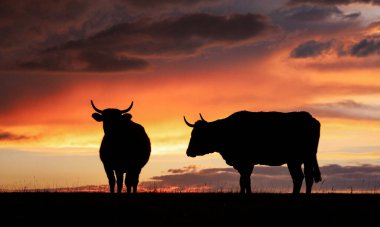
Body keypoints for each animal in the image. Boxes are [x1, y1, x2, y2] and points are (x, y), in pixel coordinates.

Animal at [184, 111, 320, 194]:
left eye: (198, 134)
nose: (188, 151)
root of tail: (310, 117)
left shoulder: (246, 162)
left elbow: (245, 180)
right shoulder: (243, 164)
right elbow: (244, 180)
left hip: (297, 160)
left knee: (301, 177)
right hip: (302, 160)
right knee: (306, 177)